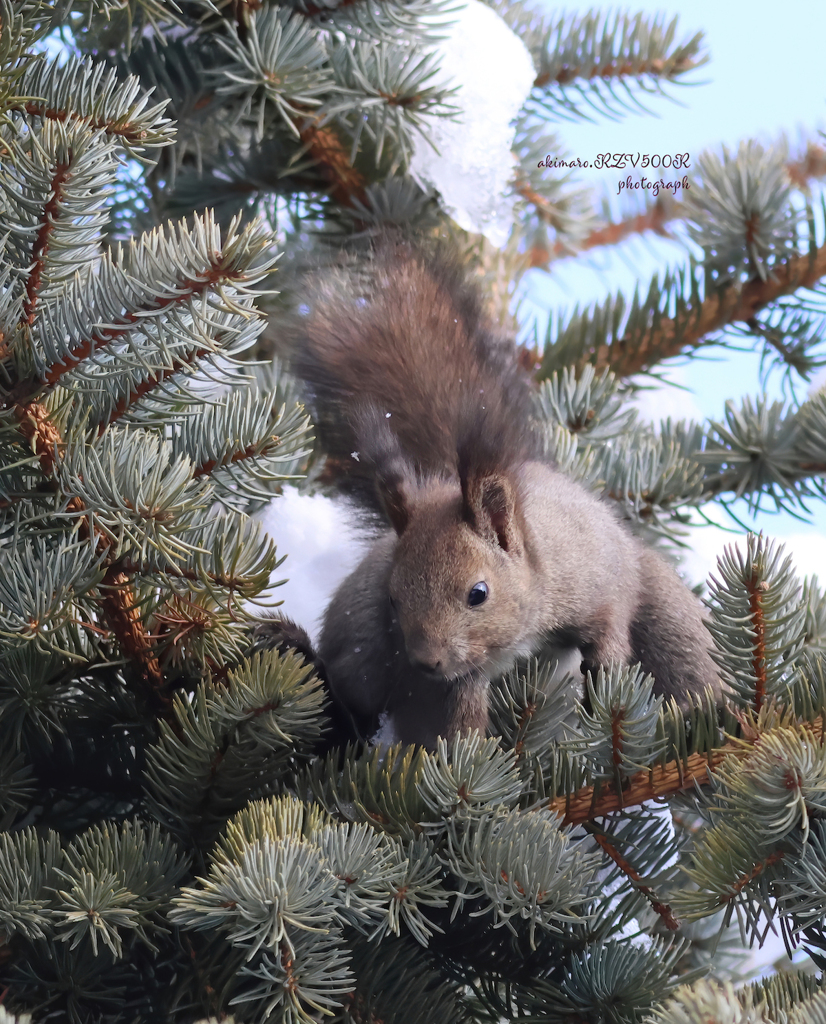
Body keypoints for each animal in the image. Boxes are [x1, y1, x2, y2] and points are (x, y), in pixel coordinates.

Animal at [270, 237, 716, 753]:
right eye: (394, 599)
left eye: (478, 594)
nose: (426, 661)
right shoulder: (456, 677)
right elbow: (458, 730)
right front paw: (472, 759)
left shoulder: (598, 578)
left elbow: (610, 633)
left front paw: (605, 693)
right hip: (361, 635)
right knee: (354, 693)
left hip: (667, 610)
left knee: (687, 660)